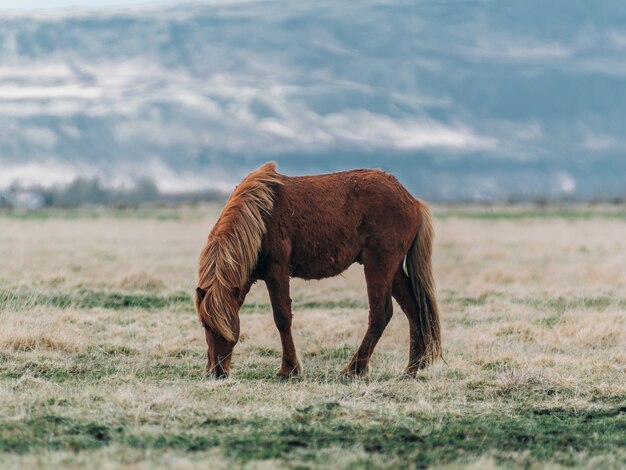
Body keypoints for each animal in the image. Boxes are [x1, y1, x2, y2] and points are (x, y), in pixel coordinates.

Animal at [193, 162, 442, 378]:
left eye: (227, 325)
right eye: (204, 325)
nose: (217, 372)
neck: (260, 216)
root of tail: (412, 200)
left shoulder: (277, 271)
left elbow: (282, 318)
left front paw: (288, 369)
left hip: (379, 264)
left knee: (381, 313)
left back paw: (355, 369)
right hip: (394, 269)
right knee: (413, 309)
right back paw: (411, 369)